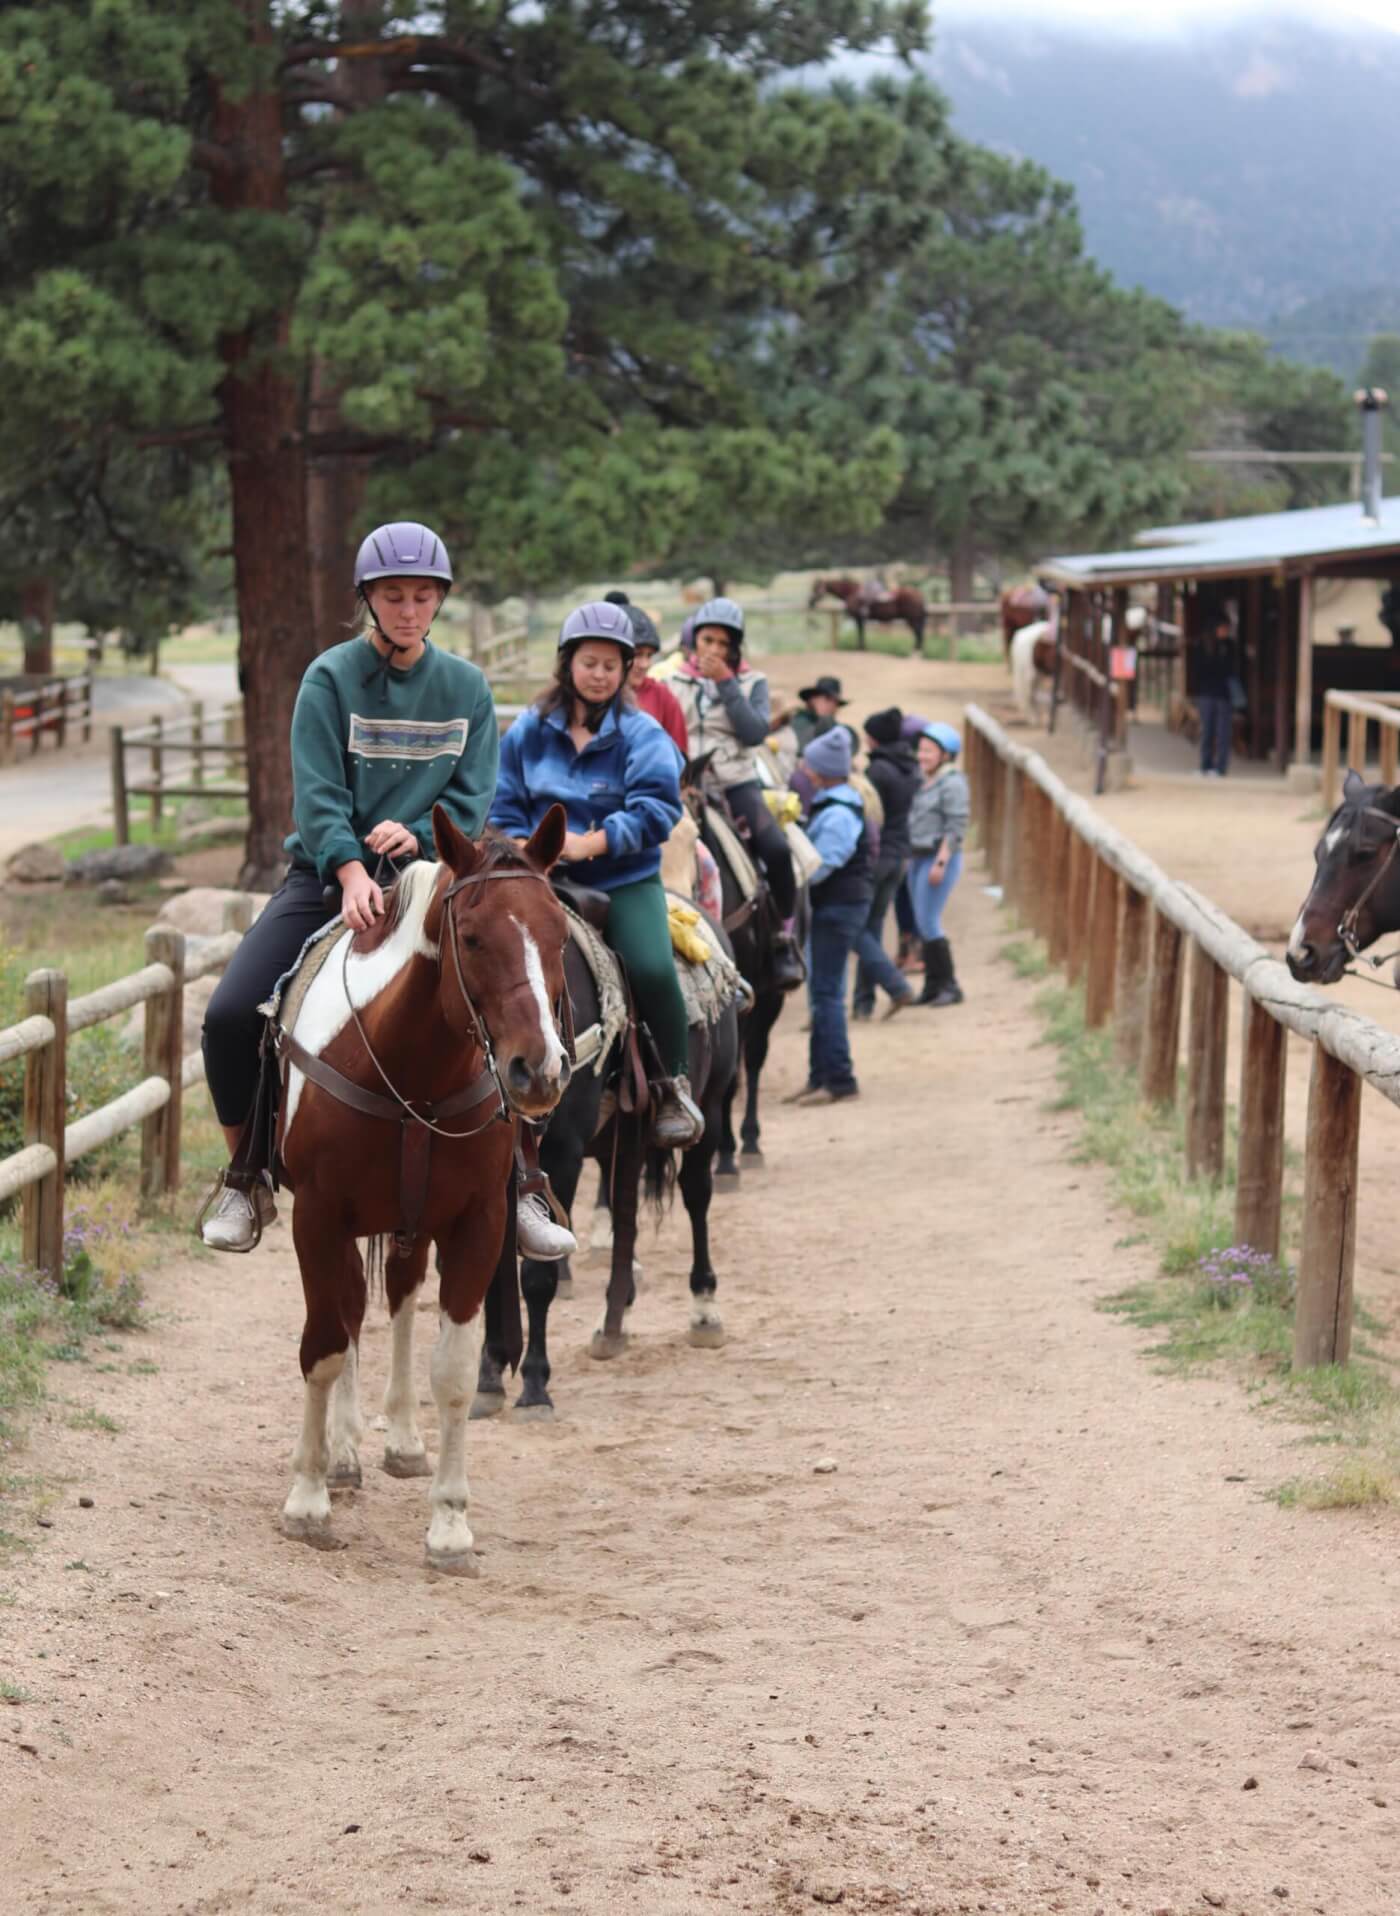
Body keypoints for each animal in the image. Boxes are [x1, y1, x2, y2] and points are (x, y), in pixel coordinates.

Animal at [275, 803, 571, 1573]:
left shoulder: (479, 1224)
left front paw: (450, 1525)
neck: (410, 1072)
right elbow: (323, 1346)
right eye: (471, 937)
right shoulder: (316, 1217)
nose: (538, 1070)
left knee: (397, 1298)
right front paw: (307, 1496)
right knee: (348, 1312)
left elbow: (455, 1373)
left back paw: (402, 1440)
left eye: (560, 934)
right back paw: (342, 1453)